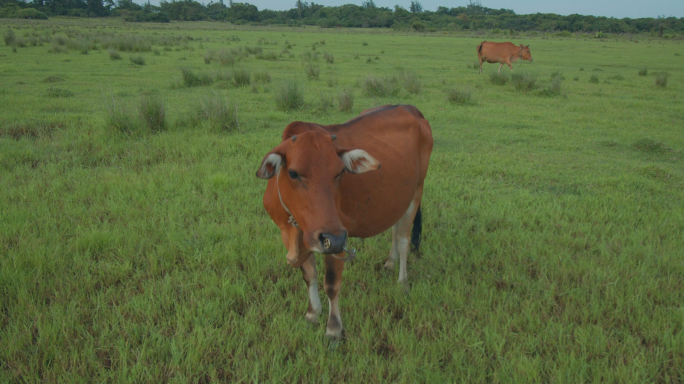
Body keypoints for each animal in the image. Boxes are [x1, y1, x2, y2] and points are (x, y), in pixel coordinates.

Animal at [256, 105, 432, 340]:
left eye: (340, 172)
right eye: (293, 173)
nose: (333, 237)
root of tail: (409, 108)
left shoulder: (338, 238)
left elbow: (331, 284)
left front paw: (333, 328)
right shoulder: (304, 236)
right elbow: (309, 275)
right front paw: (312, 313)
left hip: (416, 190)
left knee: (404, 238)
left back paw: (402, 282)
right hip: (399, 198)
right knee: (395, 229)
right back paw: (390, 263)